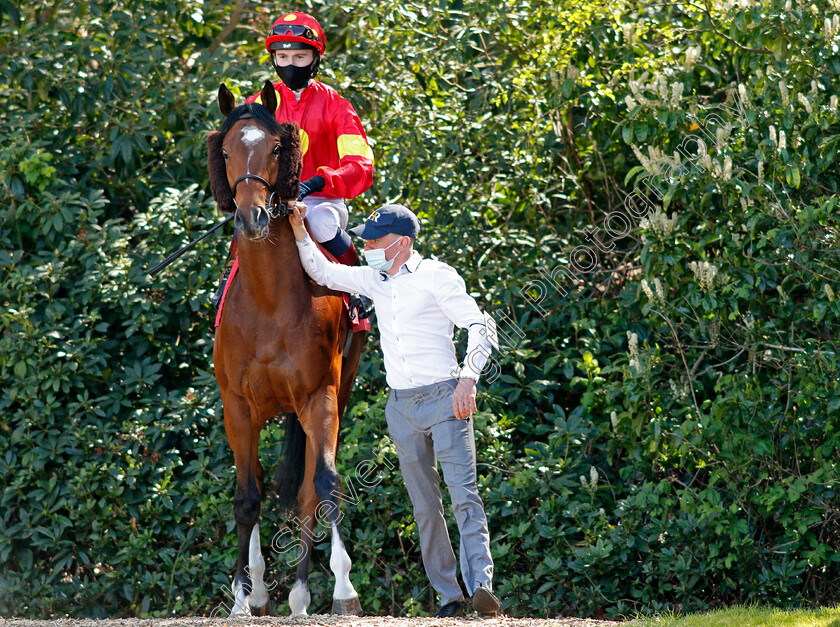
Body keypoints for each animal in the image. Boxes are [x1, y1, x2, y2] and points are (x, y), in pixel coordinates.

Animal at [208, 79, 366, 620]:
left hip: (336, 392)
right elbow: (245, 496)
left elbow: (324, 487)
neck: (269, 301)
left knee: (305, 492)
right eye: (227, 151)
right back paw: (261, 588)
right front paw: (241, 595)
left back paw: (299, 595)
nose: (251, 217)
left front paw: (343, 589)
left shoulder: (319, 397)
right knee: (257, 481)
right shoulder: (237, 406)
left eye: (277, 148)